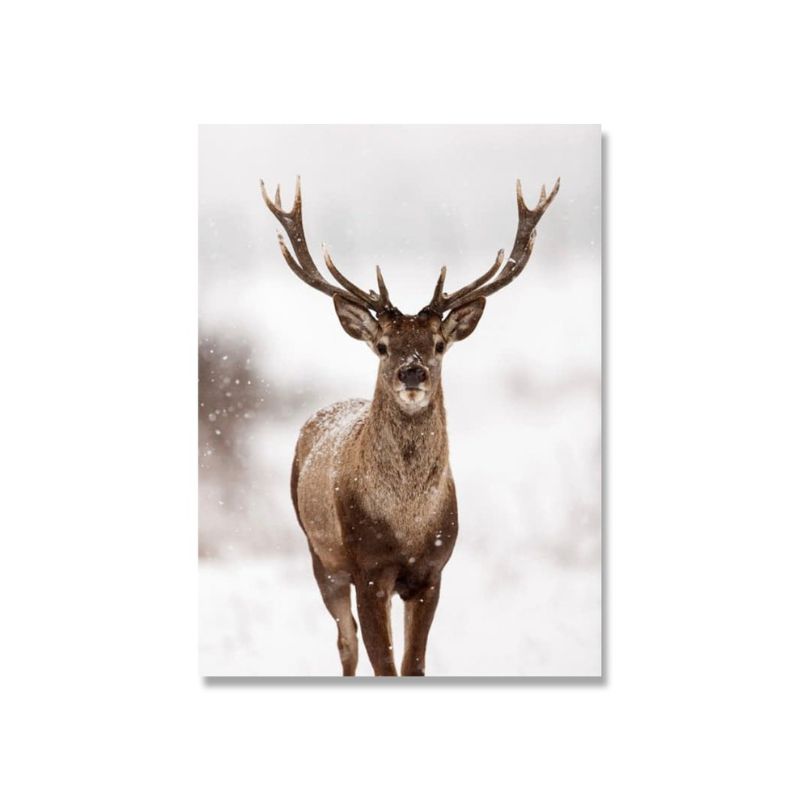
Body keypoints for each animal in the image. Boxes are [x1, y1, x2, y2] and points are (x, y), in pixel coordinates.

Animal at [260, 176, 559, 676]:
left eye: (438, 343)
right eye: (383, 345)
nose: (412, 372)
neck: (407, 523)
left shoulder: (432, 569)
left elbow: (413, 664)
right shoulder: (368, 568)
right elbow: (383, 664)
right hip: (320, 554)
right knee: (346, 642)